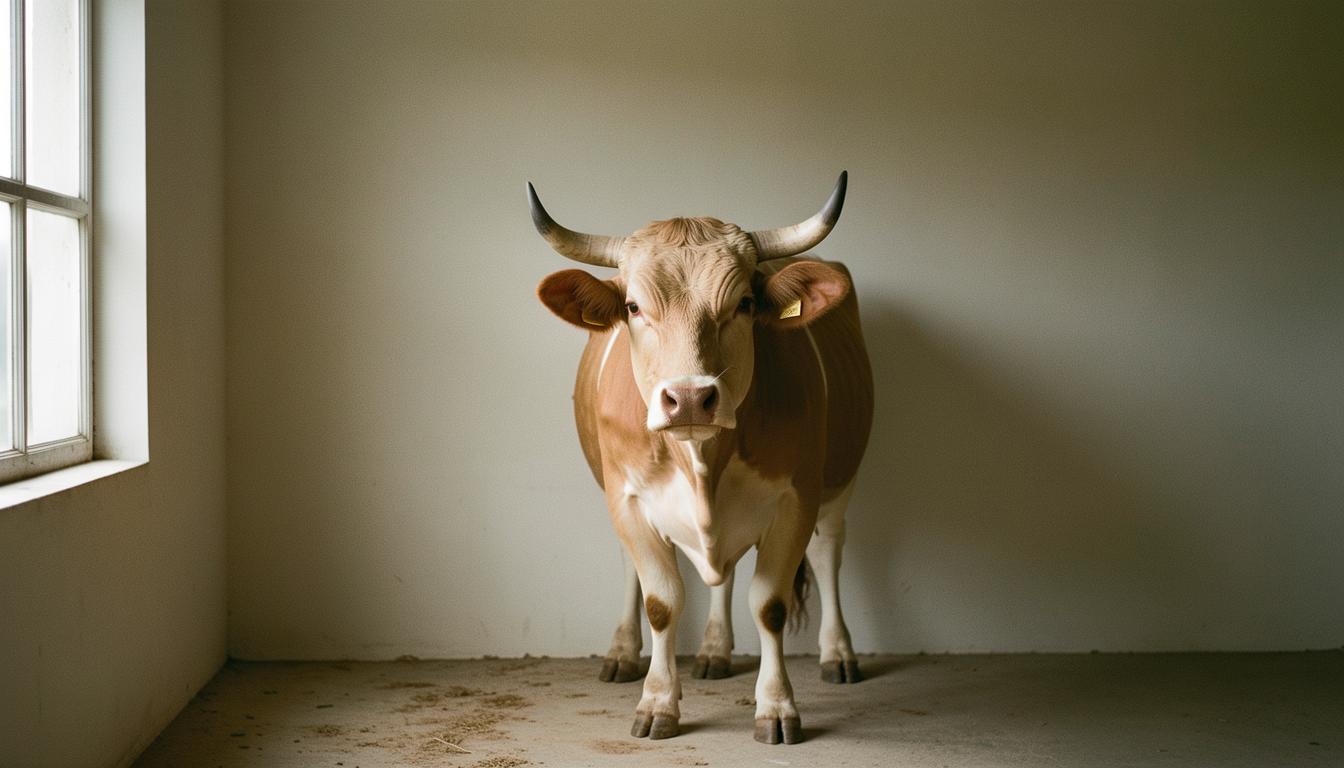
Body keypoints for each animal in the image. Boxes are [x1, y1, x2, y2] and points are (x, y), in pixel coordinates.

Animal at [531, 173, 873, 745]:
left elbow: (770, 605)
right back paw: (655, 652)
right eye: (633, 308)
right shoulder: (626, 498)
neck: (702, 460)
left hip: (839, 483)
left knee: (827, 552)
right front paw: (656, 702)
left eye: (744, 303)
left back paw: (837, 653)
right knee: (680, 570)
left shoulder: (796, 498)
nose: (690, 398)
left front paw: (776, 707)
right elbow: (662, 602)